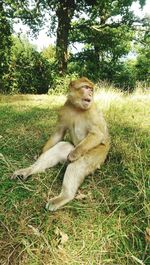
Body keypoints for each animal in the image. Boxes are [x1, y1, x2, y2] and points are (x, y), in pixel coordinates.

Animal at [11, 76, 110, 210]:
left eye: (91, 89)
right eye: (85, 87)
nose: (90, 93)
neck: (77, 108)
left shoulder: (93, 111)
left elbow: (98, 135)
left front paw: (74, 154)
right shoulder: (65, 109)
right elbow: (58, 133)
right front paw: (42, 152)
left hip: (98, 155)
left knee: (78, 163)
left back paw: (65, 196)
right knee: (62, 146)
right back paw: (28, 171)